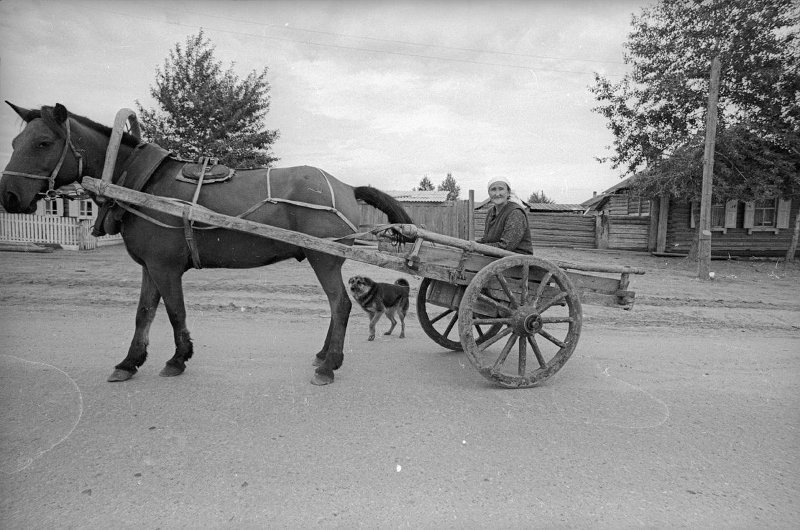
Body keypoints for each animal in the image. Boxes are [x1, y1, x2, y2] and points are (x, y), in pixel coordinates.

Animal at [1, 102, 412, 384]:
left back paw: (329, 365)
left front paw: (178, 358)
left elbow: (174, 312)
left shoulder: (165, 267)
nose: (8, 195)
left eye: (43, 142)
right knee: (334, 307)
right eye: (15, 140)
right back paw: (323, 354)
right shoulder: (151, 267)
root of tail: (346, 185)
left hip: (323, 258)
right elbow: (144, 313)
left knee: (340, 305)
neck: (144, 183)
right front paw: (129, 362)